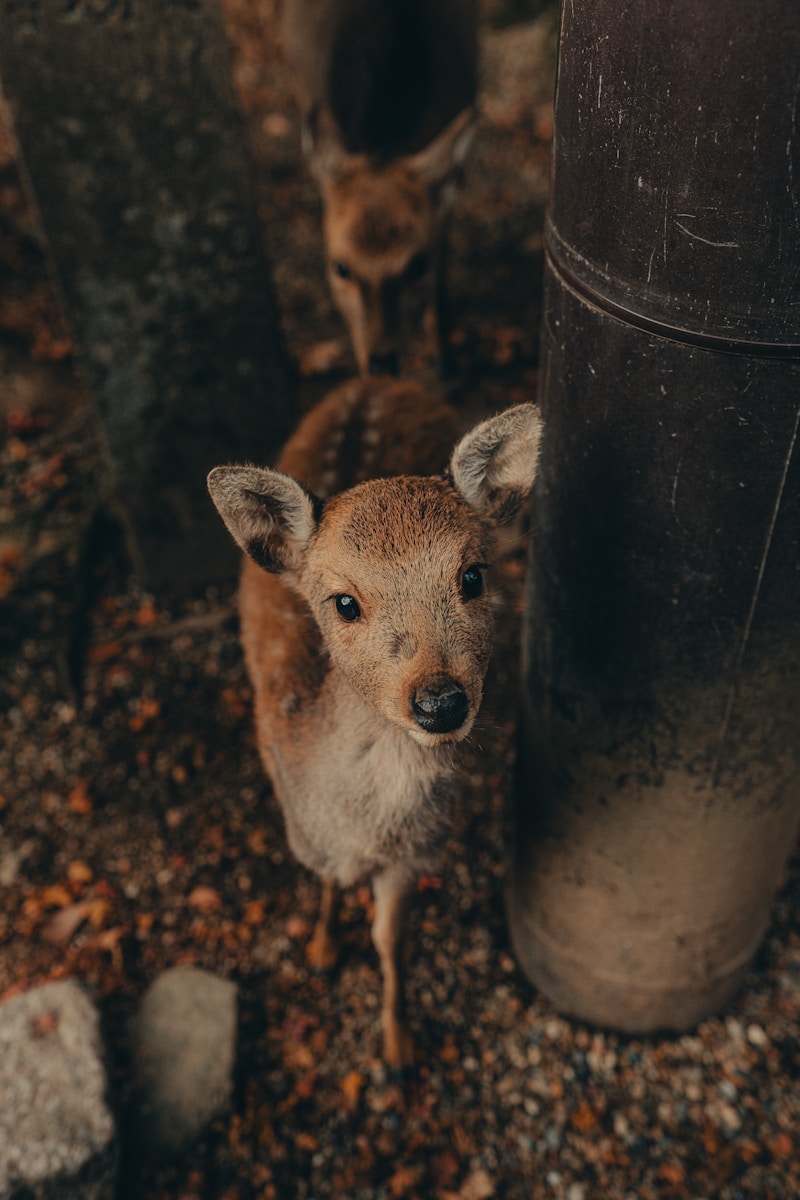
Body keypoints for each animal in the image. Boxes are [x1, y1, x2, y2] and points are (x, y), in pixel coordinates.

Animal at [207, 377, 542, 1068]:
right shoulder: (301, 826)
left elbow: (391, 938)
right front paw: (322, 949)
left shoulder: (416, 854)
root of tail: (371, 378)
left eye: (473, 575)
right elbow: (331, 880)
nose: (440, 702)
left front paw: (398, 1046)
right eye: (344, 602)